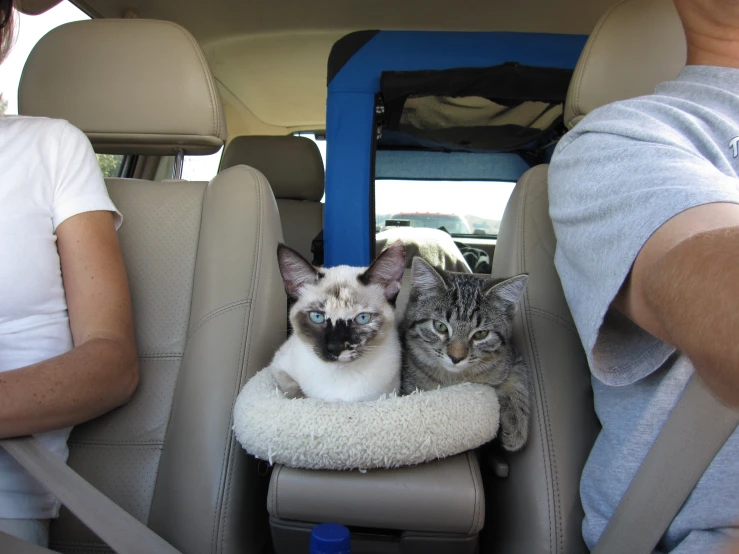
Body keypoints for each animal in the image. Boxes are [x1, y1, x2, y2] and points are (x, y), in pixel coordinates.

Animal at [398, 256, 532, 450]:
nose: (456, 357)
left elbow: (519, 381)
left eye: (480, 334)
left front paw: (516, 425)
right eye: (440, 326)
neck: (456, 379)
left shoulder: (513, 356)